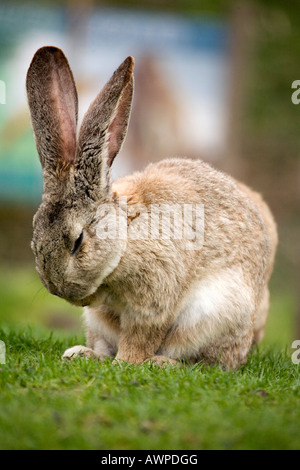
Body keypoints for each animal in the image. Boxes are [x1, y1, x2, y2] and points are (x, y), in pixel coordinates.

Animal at [27, 47, 278, 370]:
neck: (125, 238)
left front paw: (126, 363)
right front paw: (95, 357)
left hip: (217, 313)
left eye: (78, 241)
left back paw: (161, 363)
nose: (58, 289)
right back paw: (81, 354)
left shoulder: (153, 301)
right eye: (35, 239)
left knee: (207, 362)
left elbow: (141, 336)